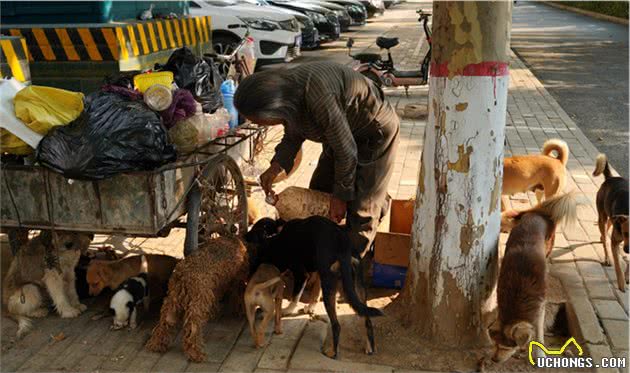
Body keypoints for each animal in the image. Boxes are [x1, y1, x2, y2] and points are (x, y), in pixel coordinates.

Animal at [247, 215, 386, 358]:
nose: (250, 276)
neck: (277, 240)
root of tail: (342, 243)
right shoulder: (317, 271)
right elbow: (314, 292)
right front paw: (310, 307)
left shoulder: (301, 274)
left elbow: (295, 296)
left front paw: (288, 310)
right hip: (356, 285)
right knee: (367, 318)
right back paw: (370, 347)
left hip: (329, 285)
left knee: (336, 325)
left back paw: (333, 352)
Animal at [494, 193, 584, 362]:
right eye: (495, 344)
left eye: (507, 347)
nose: (493, 359)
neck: (517, 295)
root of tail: (538, 213)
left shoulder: (540, 307)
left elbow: (538, 331)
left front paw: (539, 353)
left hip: (548, 247)